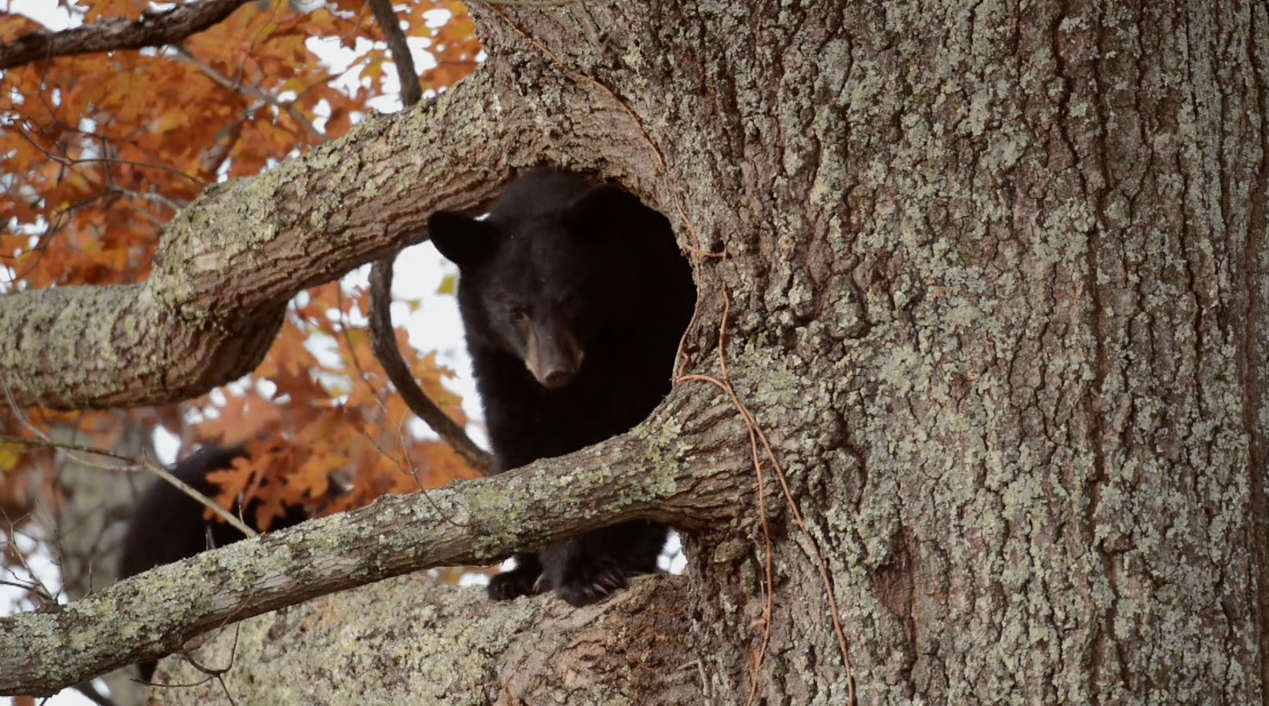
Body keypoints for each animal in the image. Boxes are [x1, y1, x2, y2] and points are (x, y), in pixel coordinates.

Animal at [431, 171, 700, 606]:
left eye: (570, 300)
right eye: (515, 310)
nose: (555, 370)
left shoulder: (651, 323)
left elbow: (629, 452)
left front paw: (602, 566)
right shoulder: (498, 363)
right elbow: (527, 457)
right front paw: (563, 571)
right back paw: (517, 578)